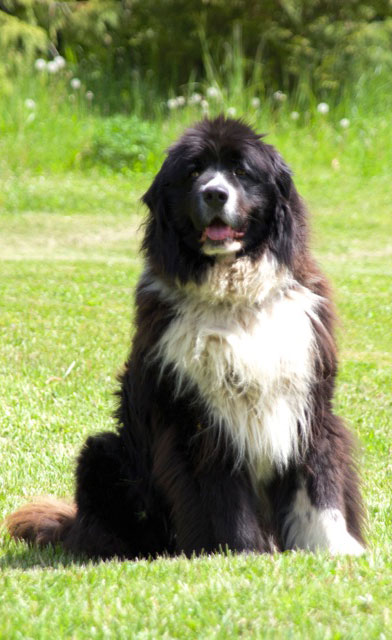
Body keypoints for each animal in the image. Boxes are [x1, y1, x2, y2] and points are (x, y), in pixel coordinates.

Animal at [6, 117, 366, 556]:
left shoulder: (309, 401)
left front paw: (340, 551)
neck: (234, 301)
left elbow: (321, 487)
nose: (214, 193)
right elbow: (222, 502)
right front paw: (240, 553)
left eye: (241, 171)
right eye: (193, 173)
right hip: (103, 453)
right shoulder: (197, 421)